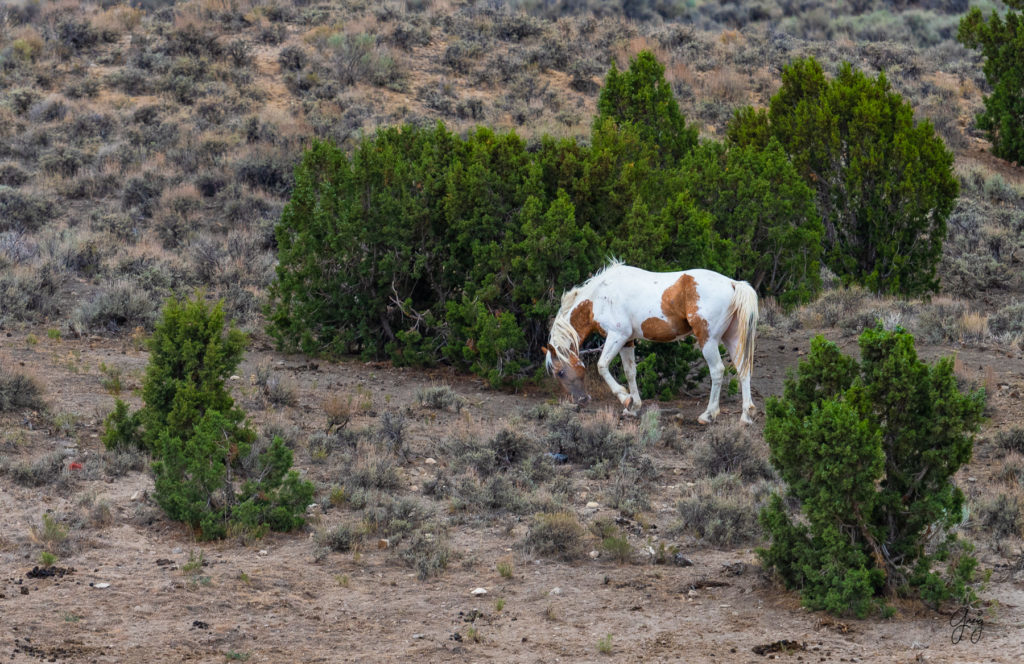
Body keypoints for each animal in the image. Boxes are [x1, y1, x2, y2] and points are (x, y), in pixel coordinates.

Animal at [548, 260, 757, 422]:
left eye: (560, 372)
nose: (581, 400)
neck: (599, 297)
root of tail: (733, 283)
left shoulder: (617, 335)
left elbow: (602, 366)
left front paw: (625, 399)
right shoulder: (627, 341)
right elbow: (630, 372)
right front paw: (633, 407)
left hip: (708, 340)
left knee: (718, 371)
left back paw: (708, 415)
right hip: (731, 338)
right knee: (743, 369)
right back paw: (746, 416)